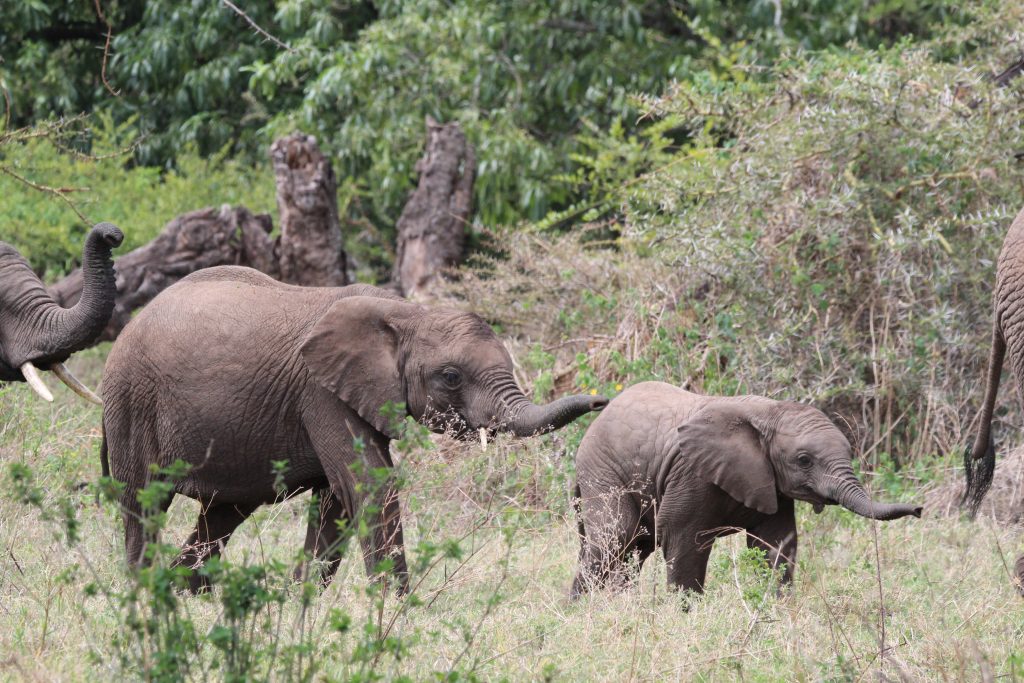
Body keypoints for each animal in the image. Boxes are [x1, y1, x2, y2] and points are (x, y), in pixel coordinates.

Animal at [99, 266, 602, 593]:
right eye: (451, 377)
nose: (602, 401)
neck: (405, 313)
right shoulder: (320, 390)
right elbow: (369, 483)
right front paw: (396, 607)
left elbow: (336, 501)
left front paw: (299, 601)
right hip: (131, 400)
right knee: (143, 501)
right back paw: (146, 592)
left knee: (224, 514)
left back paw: (185, 593)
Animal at [573, 382, 925, 602]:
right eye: (804, 460)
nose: (919, 509)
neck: (768, 413)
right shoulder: (691, 474)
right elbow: (682, 540)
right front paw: (684, 615)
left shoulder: (771, 485)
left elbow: (776, 544)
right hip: (603, 471)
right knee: (614, 539)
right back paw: (581, 610)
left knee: (632, 547)